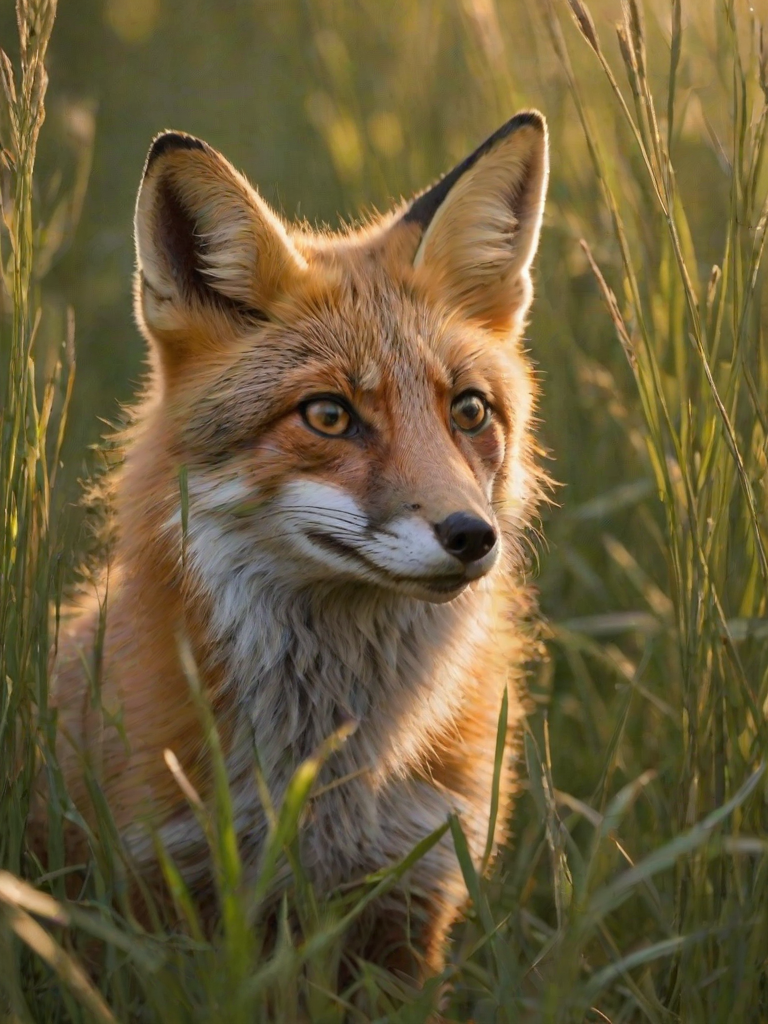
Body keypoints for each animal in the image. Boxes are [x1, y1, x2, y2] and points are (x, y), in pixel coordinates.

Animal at [36, 110, 549, 978]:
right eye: (329, 416)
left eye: (471, 411)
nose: (471, 536)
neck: (326, 775)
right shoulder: (161, 889)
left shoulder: (415, 895)